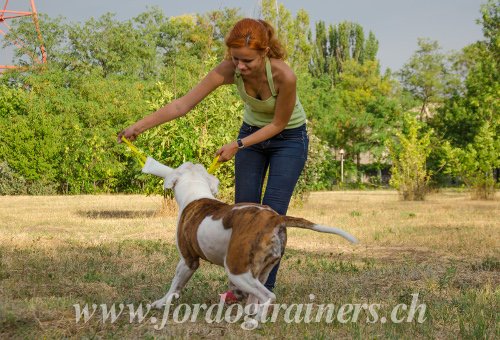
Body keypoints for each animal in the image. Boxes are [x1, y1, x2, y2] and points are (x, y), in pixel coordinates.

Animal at [141, 157, 358, 322]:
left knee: (268, 296)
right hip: (261, 270)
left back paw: (256, 321)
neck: (195, 192)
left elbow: (175, 285)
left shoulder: (188, 261)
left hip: (237, 270)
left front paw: (161, 303)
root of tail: (274, 218)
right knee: (255, 298)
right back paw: (248, 314)